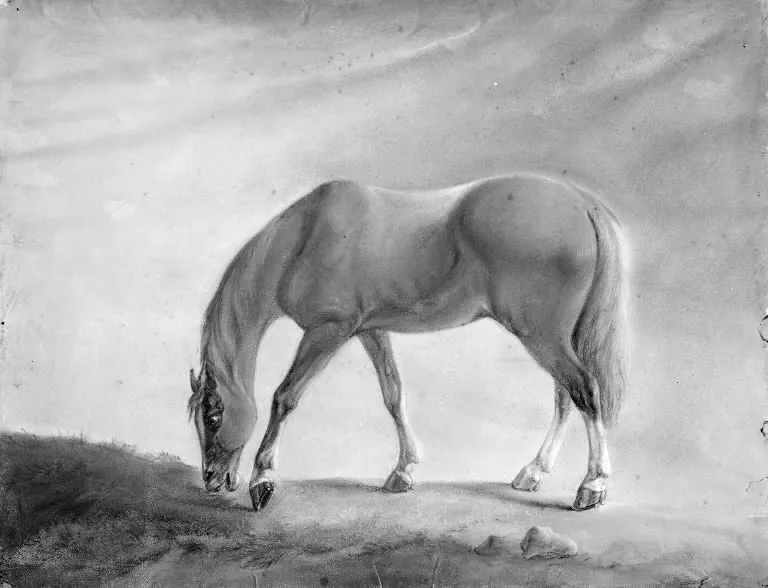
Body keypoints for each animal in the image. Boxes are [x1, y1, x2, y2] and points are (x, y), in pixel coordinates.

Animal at [187, 171, 631, 512]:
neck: (304, 237)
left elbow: (285, 397)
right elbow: (394, 394)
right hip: (552, 337)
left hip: (541, 335)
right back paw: (533, 472)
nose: (212, 479)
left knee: (585, 391)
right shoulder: (369, 330)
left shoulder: (328, 331)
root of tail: (582, 203)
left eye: (213, 415)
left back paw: (592, 486)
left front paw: (262, 479)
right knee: (565, 397)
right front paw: (403, 471)